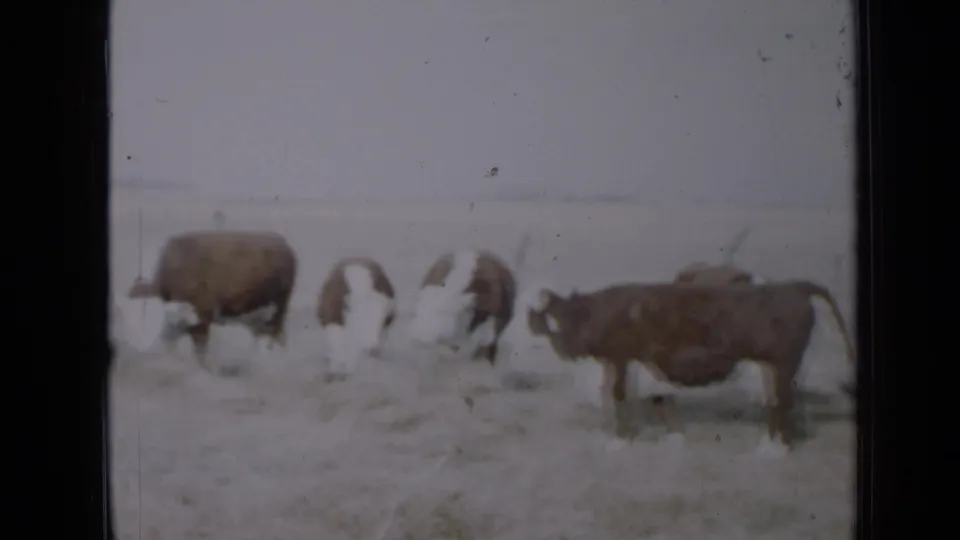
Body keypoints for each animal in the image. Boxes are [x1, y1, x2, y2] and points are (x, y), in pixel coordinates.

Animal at [124, 230, 298, 369]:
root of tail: (286, 247)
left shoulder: (202, 318)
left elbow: (200, 348)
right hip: (262, 316)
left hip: (276, 311)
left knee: (275, 335)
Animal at [527, 280, 857, 457]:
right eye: (555, 319)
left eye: (566, 318)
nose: (566, 347)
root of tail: (794, 286)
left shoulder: (619, 358)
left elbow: (618, 396)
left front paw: (619, 442)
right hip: (772, 366)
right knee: (775, 401)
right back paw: (768, 442)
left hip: (785, 362)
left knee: (784, 402)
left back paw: (776, 451)